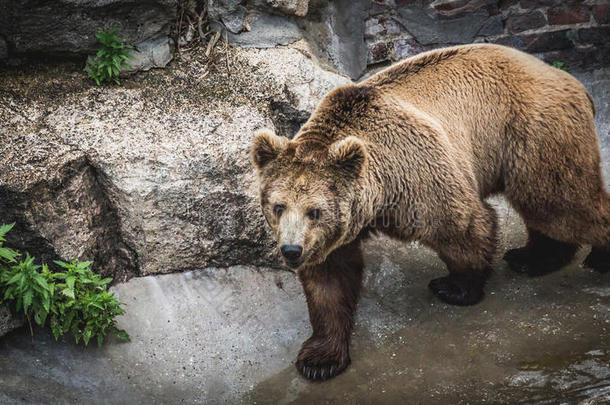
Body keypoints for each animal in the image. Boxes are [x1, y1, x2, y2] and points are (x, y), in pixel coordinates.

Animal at [249, 42, 604, 380]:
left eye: (315, 211)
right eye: (278, 206)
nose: (291, 250)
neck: (378, 191)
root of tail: (570, 81)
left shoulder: (414, 171)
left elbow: (463, 224)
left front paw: (453, 287)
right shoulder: (335, 233)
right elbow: (330, 281)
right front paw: (319, 360)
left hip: (533, 135)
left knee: (561, 201)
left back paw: (593, 257)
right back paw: (533, 258)